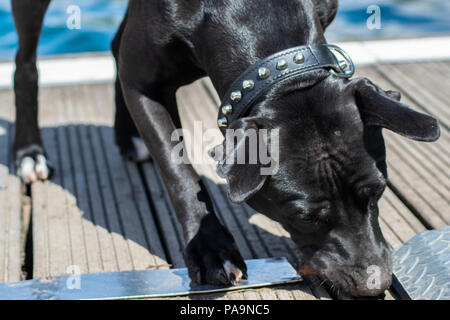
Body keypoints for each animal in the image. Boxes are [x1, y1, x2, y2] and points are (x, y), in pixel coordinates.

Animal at [11, 0, 440, 298]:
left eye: (378, 193)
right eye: (304, 217)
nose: (375, 283)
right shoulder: (145, 87)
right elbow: (178, 169)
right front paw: (211, 249)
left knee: (117, 44)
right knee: (25, 62)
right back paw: (29, 152)